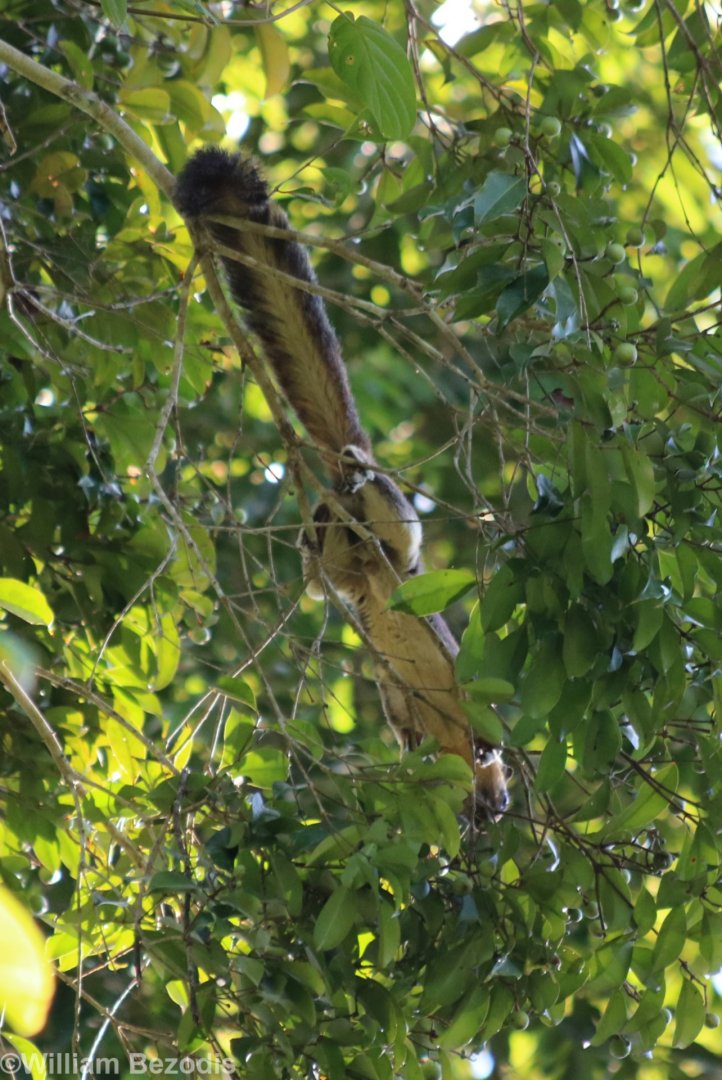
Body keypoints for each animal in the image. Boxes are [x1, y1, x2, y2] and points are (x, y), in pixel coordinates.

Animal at [175, 147, 509, 819]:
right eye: (493, 803)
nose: (492, 814)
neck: (451, 740)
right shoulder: (467, 696)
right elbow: (476, 714)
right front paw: (484, 750)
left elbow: (403, 710)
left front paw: (413, 746)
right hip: (399, 549)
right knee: (401, 528)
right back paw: (359, 472)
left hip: (348, 561)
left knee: (332, 563)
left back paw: (323, 526)